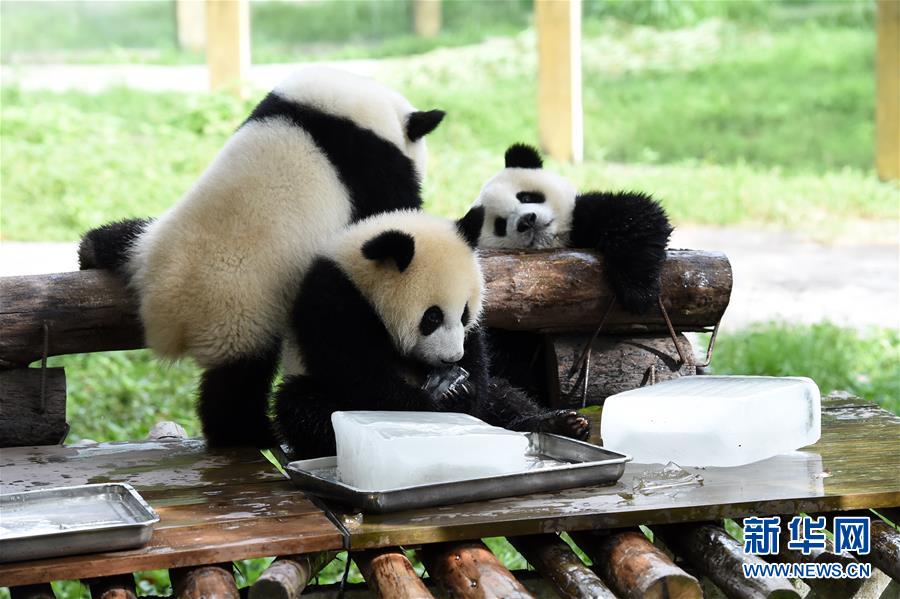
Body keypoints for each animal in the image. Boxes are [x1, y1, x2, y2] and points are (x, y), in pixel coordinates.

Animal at [79, 68, 444, 448]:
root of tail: (162, 313)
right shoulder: (371, 166)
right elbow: (390, 209)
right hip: (238, 314)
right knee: (237, 382)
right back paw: (250, 432)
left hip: (148, 245)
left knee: (122, 238)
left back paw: (93, 249)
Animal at [274, 209, 592, 458]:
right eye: (432, 317)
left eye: (464, 313)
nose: (452, 358)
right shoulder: (333, 304)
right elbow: (361, 376)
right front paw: (435, 403)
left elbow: (479, 367)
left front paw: (460, 392)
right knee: (304, 407)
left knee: (504, 395)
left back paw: (558, 424)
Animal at [460, 144, 672, 314]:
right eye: (500, 225)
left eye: (526, 197)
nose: (527, 221)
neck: (557, 241)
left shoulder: (583, 213)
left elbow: (633, 213)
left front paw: (638, 291)